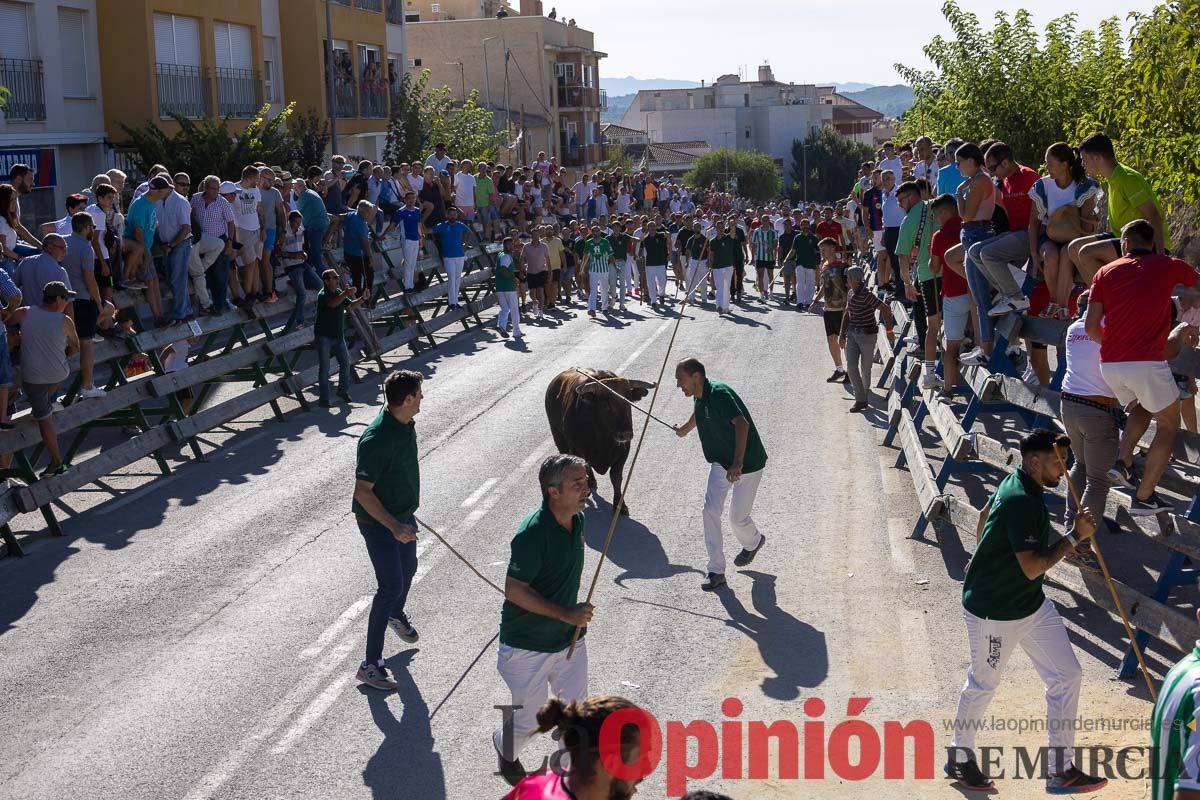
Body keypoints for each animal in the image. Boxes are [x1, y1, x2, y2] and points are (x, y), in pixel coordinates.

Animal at [547, 367, 657, 515]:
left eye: (628, 402)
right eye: (606, 404)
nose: (626, 433)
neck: (604, 439)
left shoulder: (623, 452)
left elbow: (616, 477)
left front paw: (620, 505)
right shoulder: (576, 450)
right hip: (557, 435)